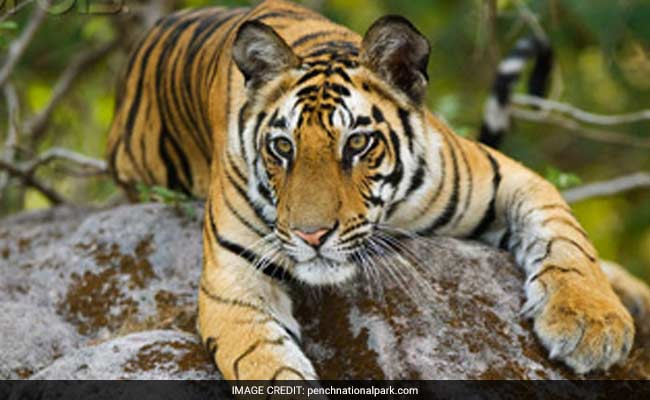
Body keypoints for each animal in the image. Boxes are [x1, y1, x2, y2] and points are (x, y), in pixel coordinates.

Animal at [107, 0, 644, 380]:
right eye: (282, 147)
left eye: (357, 143)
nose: (311, 236)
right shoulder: (233, 283)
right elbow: (267, 362)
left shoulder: (509, 177)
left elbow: (567, 239)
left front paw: (592, 325)